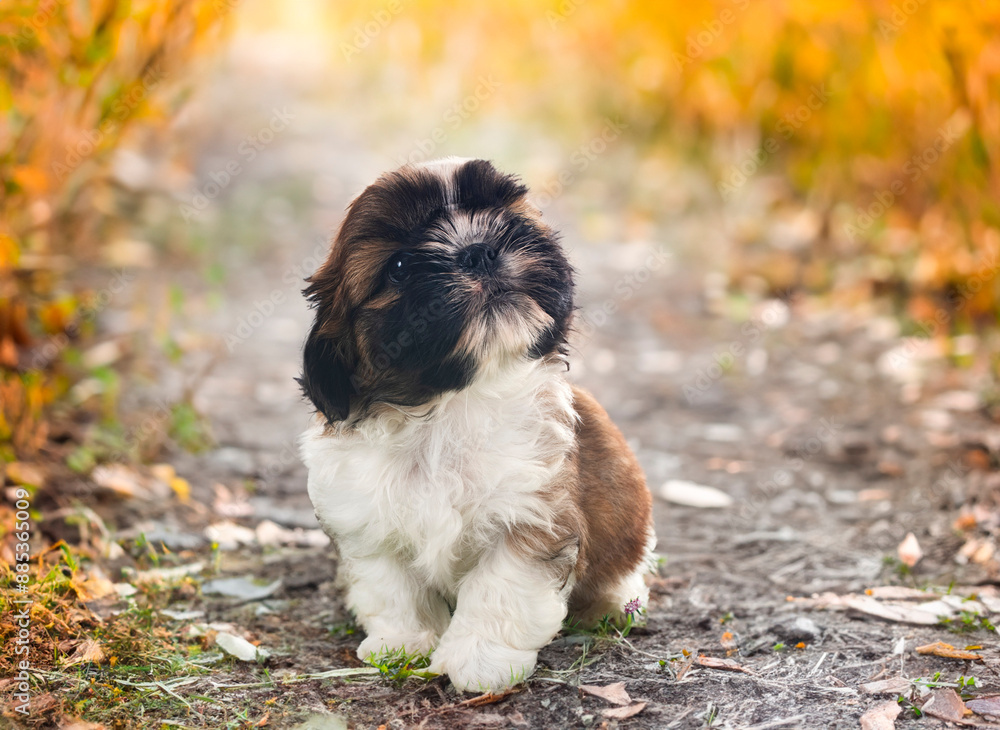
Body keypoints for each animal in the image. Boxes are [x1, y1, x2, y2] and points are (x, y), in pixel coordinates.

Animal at [296, 156, 656, 692]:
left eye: (507, 220)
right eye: (399, 267)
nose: (478, 250)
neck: (447, 410)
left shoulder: (531, 514)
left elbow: (500, 588)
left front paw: (480, 660)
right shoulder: (365, 522)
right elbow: (393, 586)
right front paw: (403, 642)